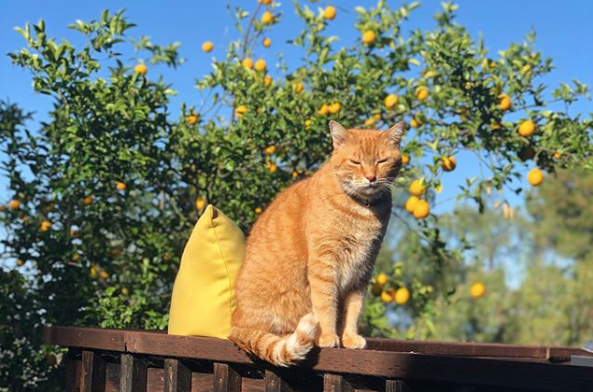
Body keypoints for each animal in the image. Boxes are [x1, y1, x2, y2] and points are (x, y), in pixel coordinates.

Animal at [229, 121, 404, 366]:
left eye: (382, 161)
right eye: (356, 162)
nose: (371, 177)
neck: (363, 209)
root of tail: (234, 324)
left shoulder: (362, 269)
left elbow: (353, 308)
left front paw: (349, 337)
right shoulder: (325, 263)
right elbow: (325, 304)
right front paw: (328, 336)